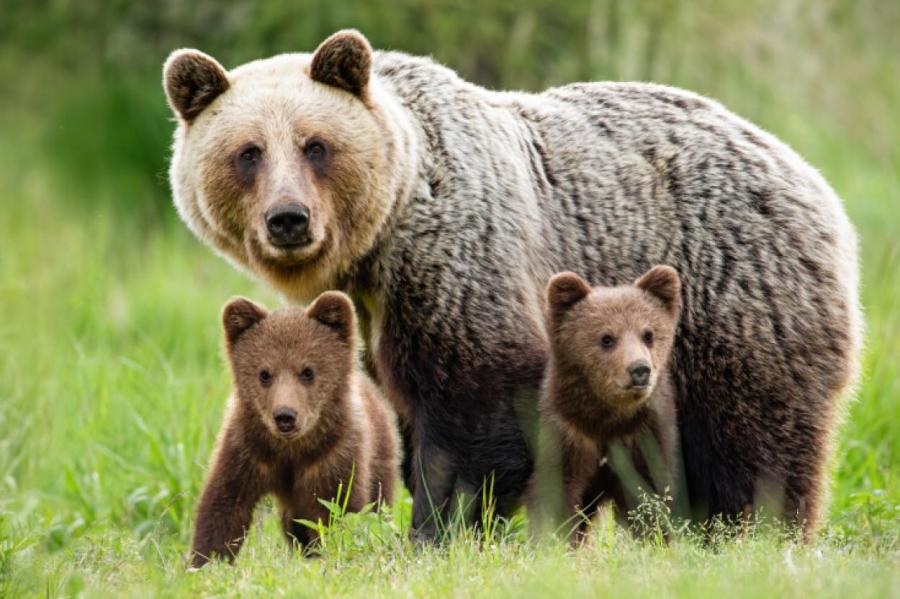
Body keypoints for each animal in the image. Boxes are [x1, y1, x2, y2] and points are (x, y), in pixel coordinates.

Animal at [189, 292, 398, 568]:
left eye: (308, 371)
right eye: (264, 373)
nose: (285, 416)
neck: (291, 450)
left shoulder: (333, 456)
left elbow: (337, 510)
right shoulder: (247, 450)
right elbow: (223, 505)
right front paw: (206, 562)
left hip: (380, 455)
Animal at [536, 266, 684, 540]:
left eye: (648, 334)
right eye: (606, 338)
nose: (640, 369)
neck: (607, 422)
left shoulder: (643, 438)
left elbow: (649, 496)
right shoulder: (569, 435)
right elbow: (558, 495)